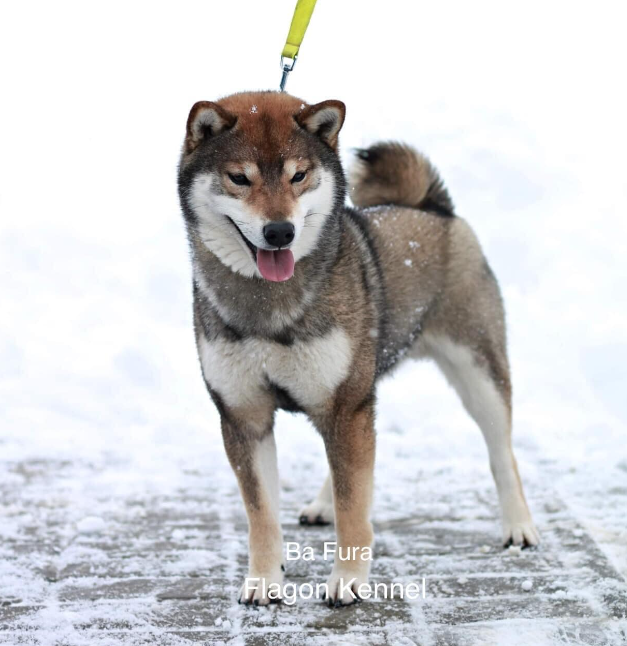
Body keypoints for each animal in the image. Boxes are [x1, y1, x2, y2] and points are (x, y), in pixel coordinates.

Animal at [177, 93, 540, 612]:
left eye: (299, 175)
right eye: (239, 177)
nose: (280, 232)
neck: (270, 304)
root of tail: (434, 208)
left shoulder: (346, 403)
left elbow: (355, 506)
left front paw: (347, 580)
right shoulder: (244, 415)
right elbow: (262, 513)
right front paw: (265, 581)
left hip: (475, 370)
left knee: (500, 452)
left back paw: (518, 525)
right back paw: (322, 504)